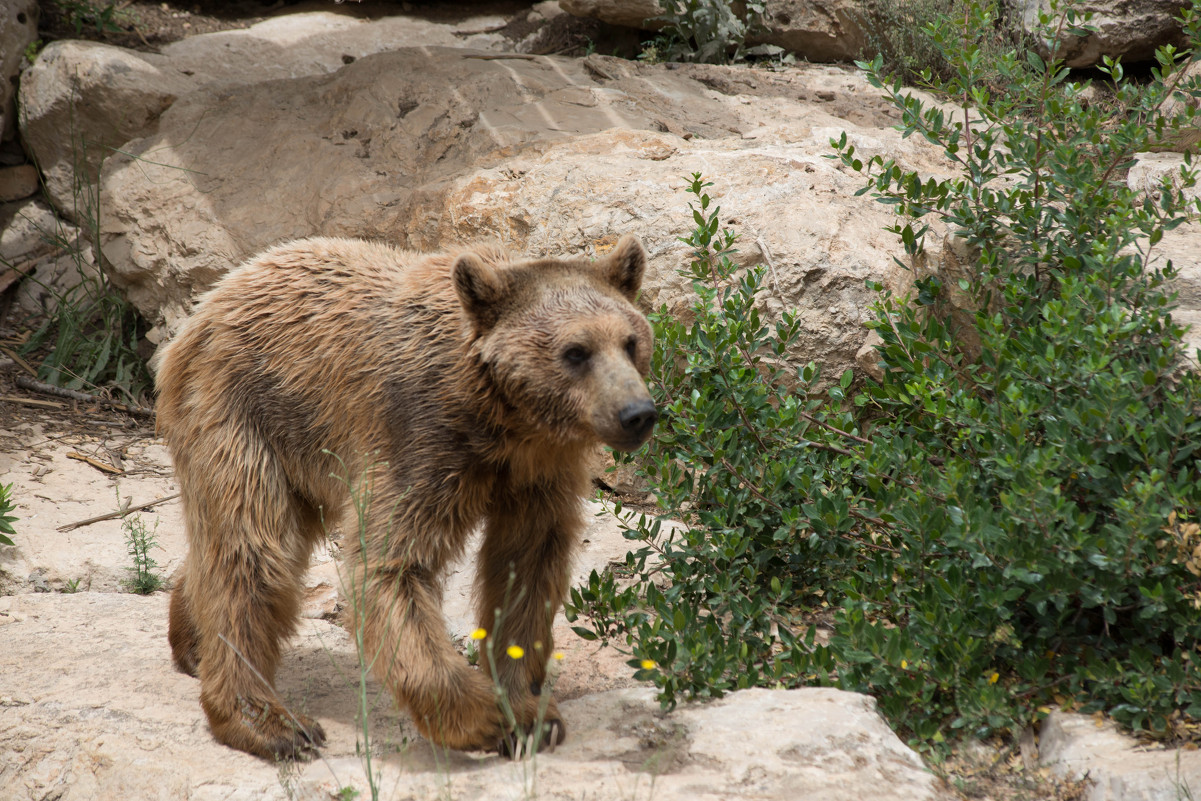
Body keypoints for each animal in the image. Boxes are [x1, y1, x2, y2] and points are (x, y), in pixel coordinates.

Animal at [156, 235, 658, 763]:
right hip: (244, 412)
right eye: (576, 351)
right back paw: (271, 721)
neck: (504, 422)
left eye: (631, 341)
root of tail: (206, 305)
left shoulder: (538, 474)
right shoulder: (419, 442)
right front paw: (485, 716)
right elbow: (392, 567)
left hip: (301, 456)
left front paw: (529, 711)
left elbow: (527, 567)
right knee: (254, 551)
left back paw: (191, 639)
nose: (637, 413)